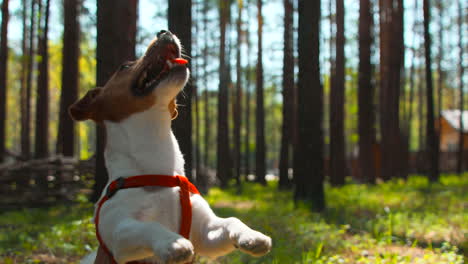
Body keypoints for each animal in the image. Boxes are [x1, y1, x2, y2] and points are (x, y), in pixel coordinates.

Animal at [71, 29, 272, 262]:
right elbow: (149, 226)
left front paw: (252, 235)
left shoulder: (206, 233)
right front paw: (173, 242)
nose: (163, 31)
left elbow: (232, 220)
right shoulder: (118, 233)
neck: (158, 169)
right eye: (125, 66)